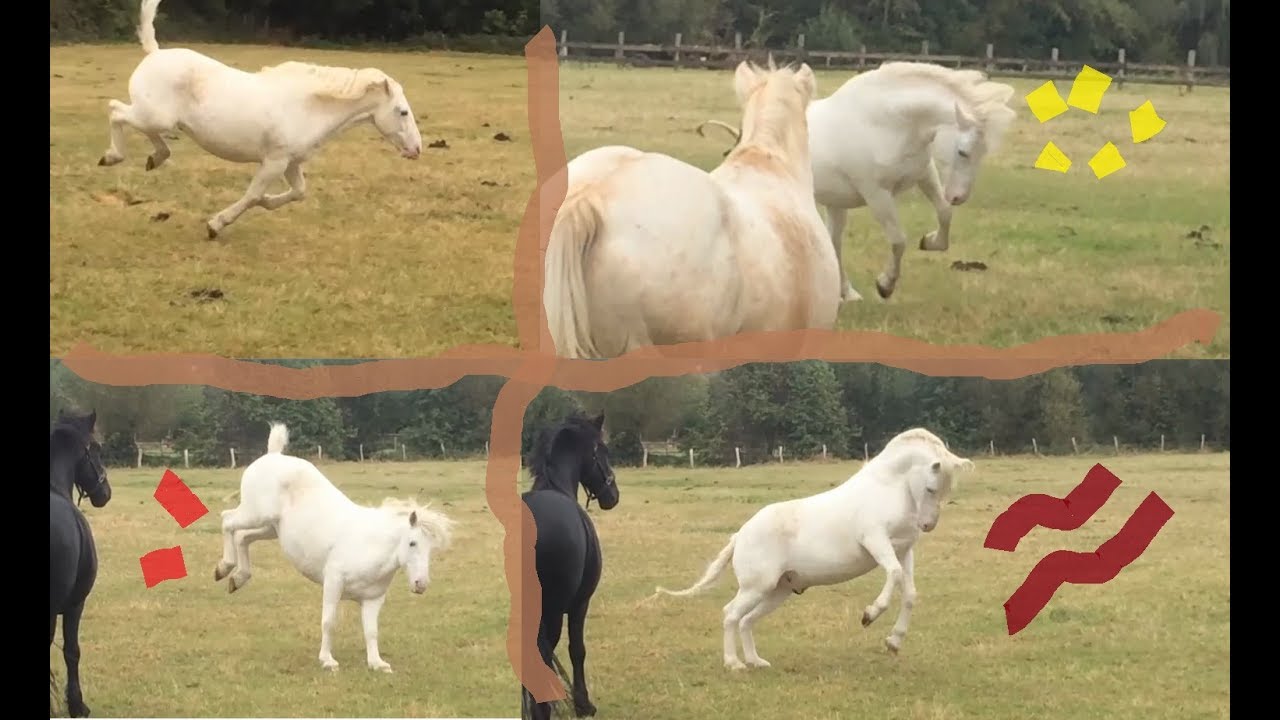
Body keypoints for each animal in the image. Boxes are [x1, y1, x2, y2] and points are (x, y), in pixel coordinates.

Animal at [97, 0, 423, 239]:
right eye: (403, 112)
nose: (417, 149)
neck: (308, 108)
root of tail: (155, 53)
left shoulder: (291, 163)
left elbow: (298, 192)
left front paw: (267, 203)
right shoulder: (274, 162)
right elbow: (253, 194)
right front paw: (215, 225)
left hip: (157, 119)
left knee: (142, 129)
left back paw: (155, 158)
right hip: (155, 116)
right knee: (115, 111)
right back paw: (112, 157)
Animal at [214, 423, 455, 672]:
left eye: (432, 549)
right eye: (412, 543)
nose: (421, 584)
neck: (371, 546)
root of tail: (273, 455)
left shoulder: (373, 599)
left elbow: (371, 631)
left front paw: (377, 663)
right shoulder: (333, 583)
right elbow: (329, 622)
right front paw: (327, 660)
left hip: (269, 528)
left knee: (242, 537)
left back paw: (237, 578)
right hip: (255, 514)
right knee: (227, 520)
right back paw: (224, 567)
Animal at [520, 412, 621, 720]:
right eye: (603, 451)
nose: (613, 495)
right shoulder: (580, 604)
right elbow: (577, 649)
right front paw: (583, 704)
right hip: (552, 610)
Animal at [651, 428, 975, 670]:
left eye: (946, 490)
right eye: (931, 488)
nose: (927, 525)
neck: (889, 489)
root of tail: (740, 535)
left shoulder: (903, 550)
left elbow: (909, 594)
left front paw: (893, 642)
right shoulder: (875, 541)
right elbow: (893, 575)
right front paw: (869, 615)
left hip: (777, 592)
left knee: (745, 621)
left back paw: (756, 661)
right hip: (757, 588)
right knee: (730, 614)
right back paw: (734, 664)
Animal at [697, 61, 1017, 301]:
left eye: (982, 153)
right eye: (963, 151)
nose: (959, 196)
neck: (886, 123)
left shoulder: (925, 174)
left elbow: (944, 215)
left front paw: (930, 241)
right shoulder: (877, 194)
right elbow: (898, 240)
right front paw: (885, 285)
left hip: (835, 203)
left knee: (834, 241)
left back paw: (846, 293)